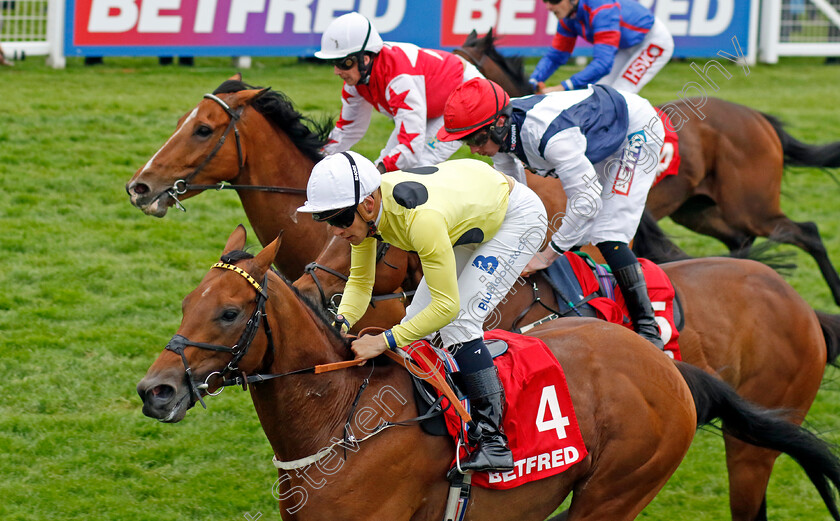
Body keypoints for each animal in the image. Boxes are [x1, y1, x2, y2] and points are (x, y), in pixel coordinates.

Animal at [456, 29, 840, 304]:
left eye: (462, 67)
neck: (516, 123)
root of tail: (759, 117)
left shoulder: (563, 152)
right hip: (699, 211)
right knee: (740, 240)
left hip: (749, 207)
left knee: (806, 232)